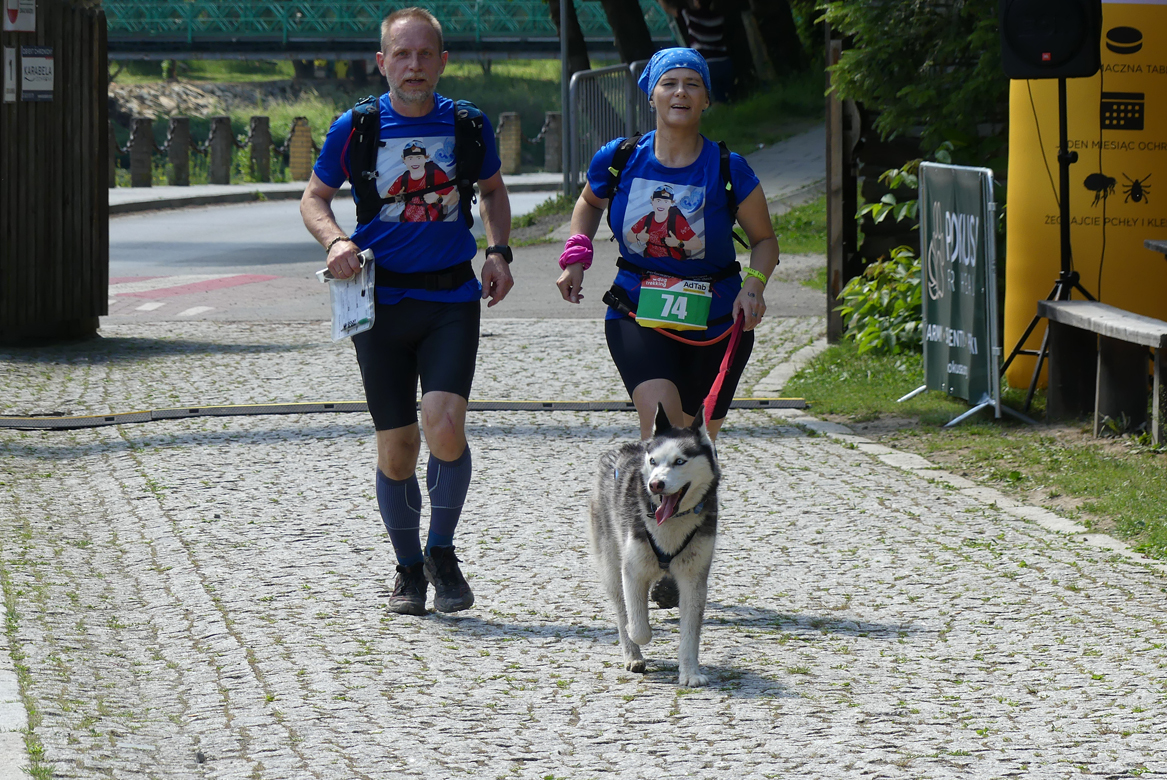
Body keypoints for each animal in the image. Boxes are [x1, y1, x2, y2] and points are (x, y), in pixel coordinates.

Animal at [588, 404, 720, 687]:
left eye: (680, 461)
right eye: (653, 462)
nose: (655, 484)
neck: (672, 523)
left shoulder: (694, 580)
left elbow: (690, 635)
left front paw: (690, 672)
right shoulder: (632, 571)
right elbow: (638, 626)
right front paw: (637, 633)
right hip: (611, 566)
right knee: (621, 609)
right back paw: (632, 655)